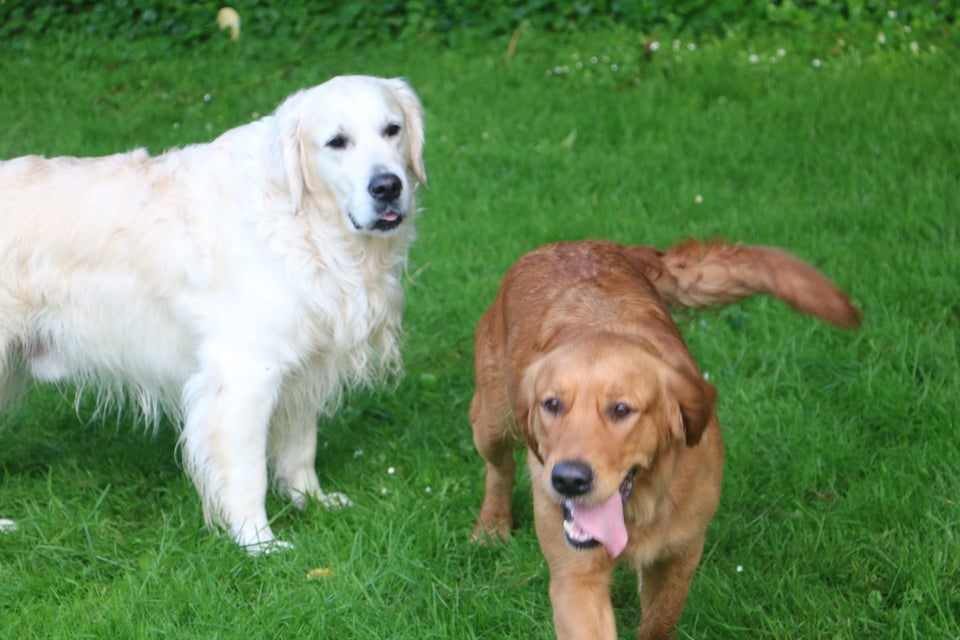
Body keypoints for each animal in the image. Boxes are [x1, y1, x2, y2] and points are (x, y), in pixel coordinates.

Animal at [0, 75, 428, 552]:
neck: (304, 222)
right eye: (336, 141)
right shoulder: (245, 373)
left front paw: (312, 501)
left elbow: (301, 447)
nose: (387, 186)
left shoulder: (304, 367)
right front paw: (258, 542)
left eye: (392, 129)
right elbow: (246, 471)